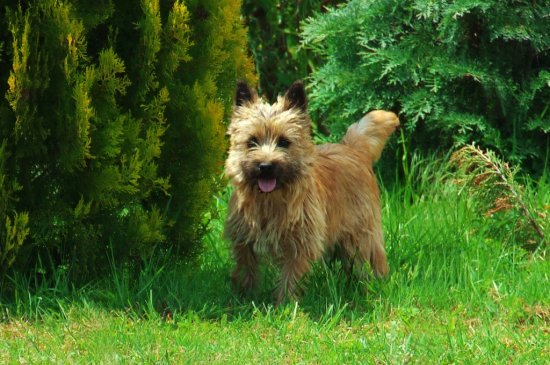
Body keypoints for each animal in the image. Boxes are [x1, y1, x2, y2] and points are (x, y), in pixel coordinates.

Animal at [224, 80, 402, 304]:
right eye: (252, 141)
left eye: (284, 142)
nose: (266, 166)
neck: (269, 202)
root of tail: (353, 149)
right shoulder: (243, 242)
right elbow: (246, 270)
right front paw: (245, 298)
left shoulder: (300, 245)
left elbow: (290, 276)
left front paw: (284, 304)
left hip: (362, 236)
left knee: (373, 260)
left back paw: (377, 286)